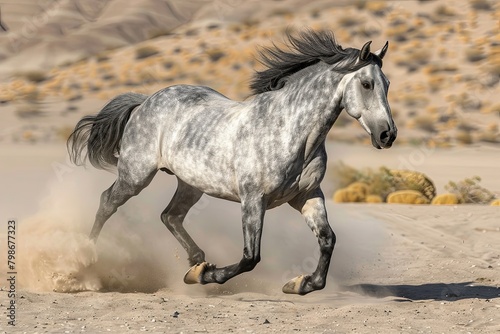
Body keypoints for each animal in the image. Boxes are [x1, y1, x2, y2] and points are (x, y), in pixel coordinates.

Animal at [67, 30, 394, 294]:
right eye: (367, 84)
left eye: (387, 83)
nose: (387, 134)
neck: (291, 131)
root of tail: (146, 100)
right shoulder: (253, 200)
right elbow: (251, 257)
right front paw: (208, 276)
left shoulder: (308, 195)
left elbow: (327, 240)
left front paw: (300, 284)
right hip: (136, 175)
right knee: (107, 202)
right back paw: (85, 261)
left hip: (191, 184)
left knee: (170, 216)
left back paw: (196, 262)